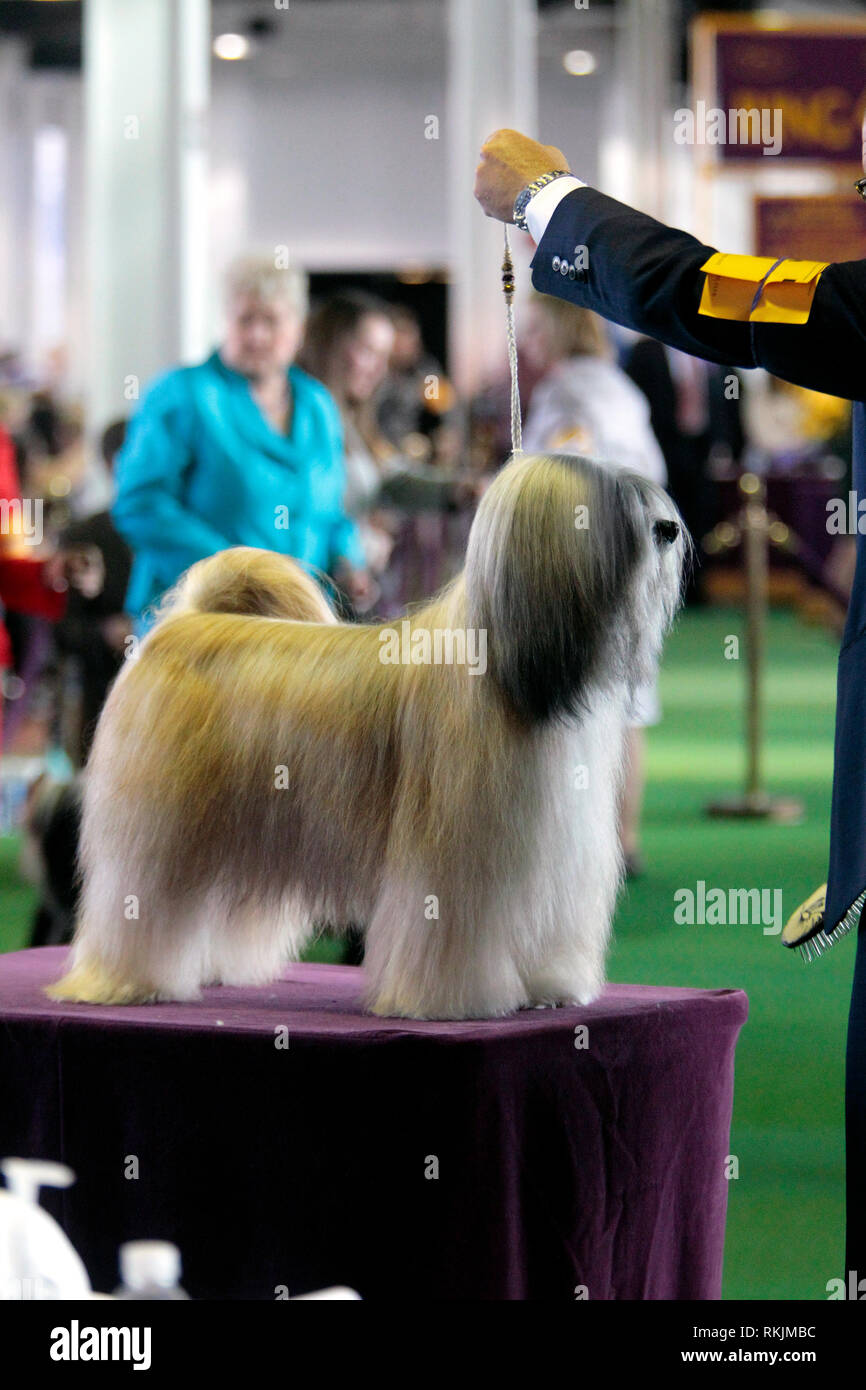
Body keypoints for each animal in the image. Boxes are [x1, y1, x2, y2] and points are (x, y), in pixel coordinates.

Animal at [45, 455, 683, 1023]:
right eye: (615, 504)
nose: (670, 528)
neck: (512, 672)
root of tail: (188, 619)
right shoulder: (455, 859)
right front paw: (453, 1001)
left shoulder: (553, 854)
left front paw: (548, 988)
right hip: (159, 827)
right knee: (138, 898)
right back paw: (124, 980)